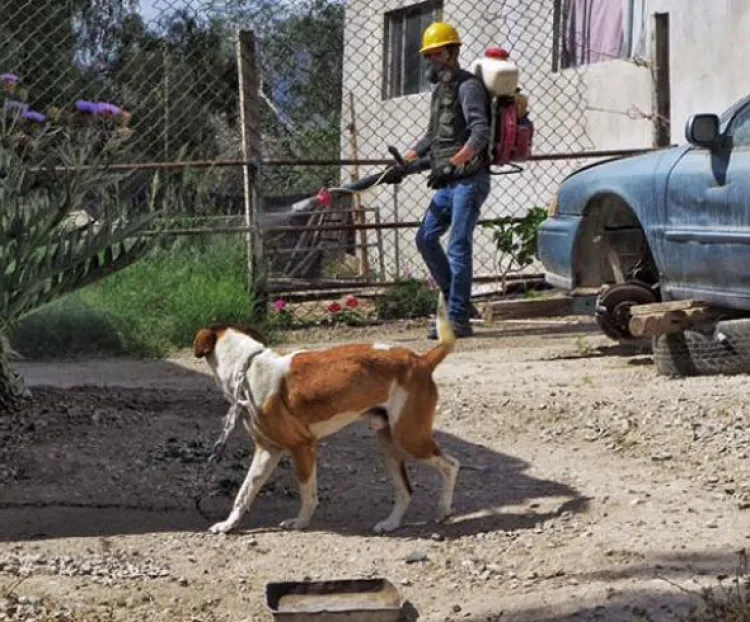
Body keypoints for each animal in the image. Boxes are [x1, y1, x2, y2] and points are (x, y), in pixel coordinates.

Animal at [192, 294, 464, 532]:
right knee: (406, 490)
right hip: (389, 445)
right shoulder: (267, 450)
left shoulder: (302, 447)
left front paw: (300, 522)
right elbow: (244, 492)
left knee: (451, 465)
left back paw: (443, 510)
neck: (246, 368)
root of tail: (421, 360)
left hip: (410, 437)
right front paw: (228, 524)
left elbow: (307, 493)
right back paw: (391, 523)